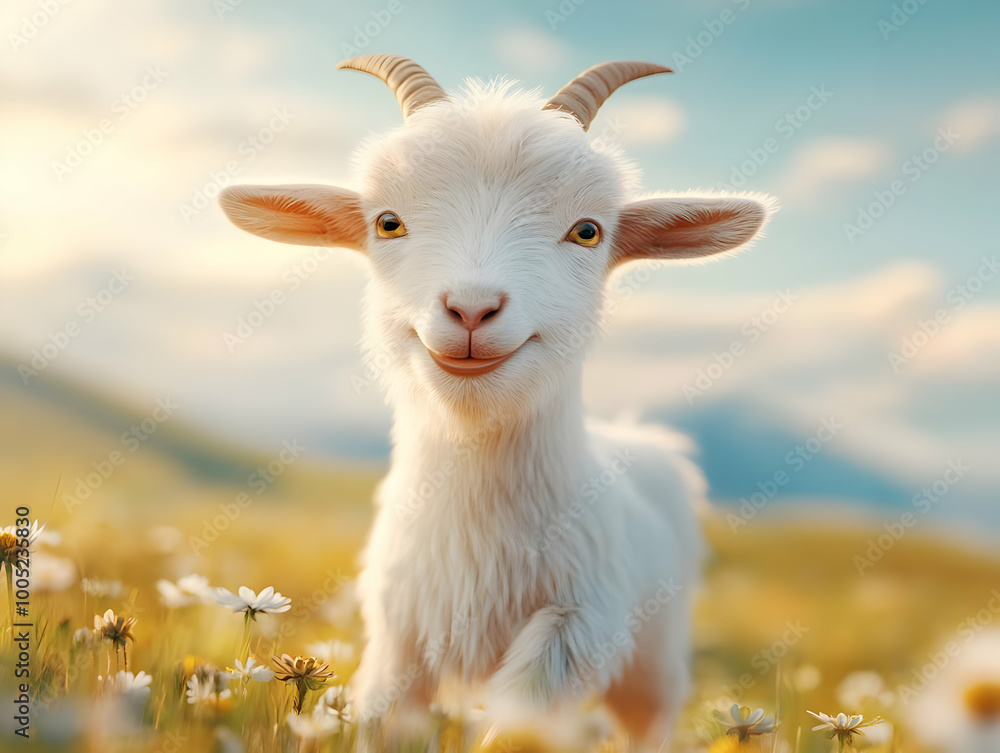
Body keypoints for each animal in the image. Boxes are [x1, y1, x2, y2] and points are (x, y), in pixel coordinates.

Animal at [220, 54, 776, 749]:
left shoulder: (575, 626)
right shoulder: (399, 630)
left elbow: (518, 725)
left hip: (655, 655)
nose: (471, 309)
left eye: (587, 231)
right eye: (387, 222)